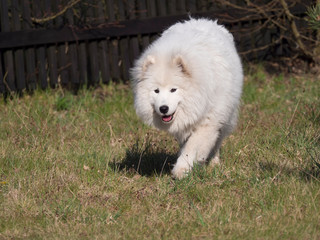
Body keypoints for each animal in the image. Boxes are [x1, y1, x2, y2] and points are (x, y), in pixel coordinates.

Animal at [130, 18, 242, 178]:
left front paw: (181, 169)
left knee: (218, 142)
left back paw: (214, 163)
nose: (163, 108)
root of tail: (203, 20)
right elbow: (186, 146)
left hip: (226, 116)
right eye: (156, 91)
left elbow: (192, 147)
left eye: (173, 89)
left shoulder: (209, 122)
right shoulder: (184, 126)